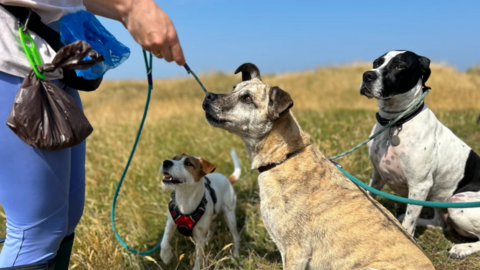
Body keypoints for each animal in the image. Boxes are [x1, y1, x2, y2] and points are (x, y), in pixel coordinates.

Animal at [360, 50, 480, 260]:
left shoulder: (419, 185)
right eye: (376, 62)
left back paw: (462, 248)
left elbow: (408, 224)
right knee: (441, 223)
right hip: (439, 198)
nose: (367, 75)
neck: (395, 123)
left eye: (399, 66)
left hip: (458, 204)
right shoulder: (377, 176)